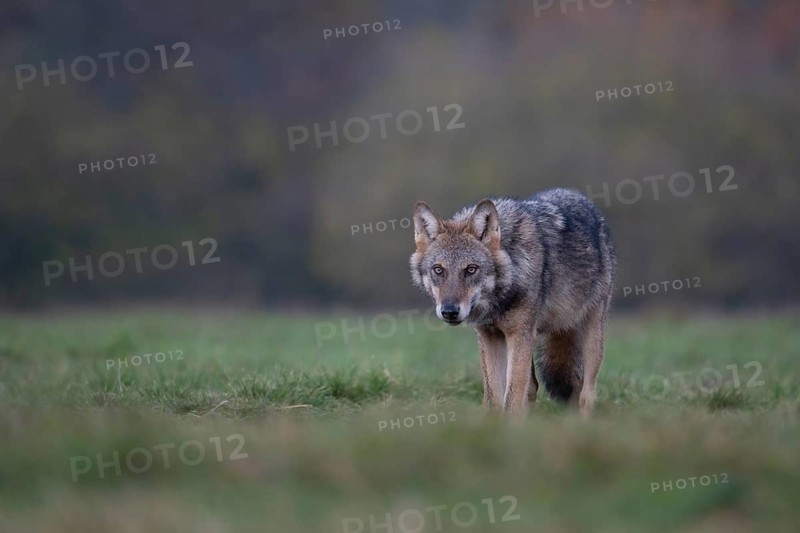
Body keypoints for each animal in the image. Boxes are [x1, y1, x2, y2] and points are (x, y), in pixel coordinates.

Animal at [410, 188, 616, 416]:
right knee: (534, 387)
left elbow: (512, 400)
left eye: (471, 269)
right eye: (438, 270)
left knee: (586, 395)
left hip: (590, 338)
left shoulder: (519, 335)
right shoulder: (490, 337)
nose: (449, 311)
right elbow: (494, 398)